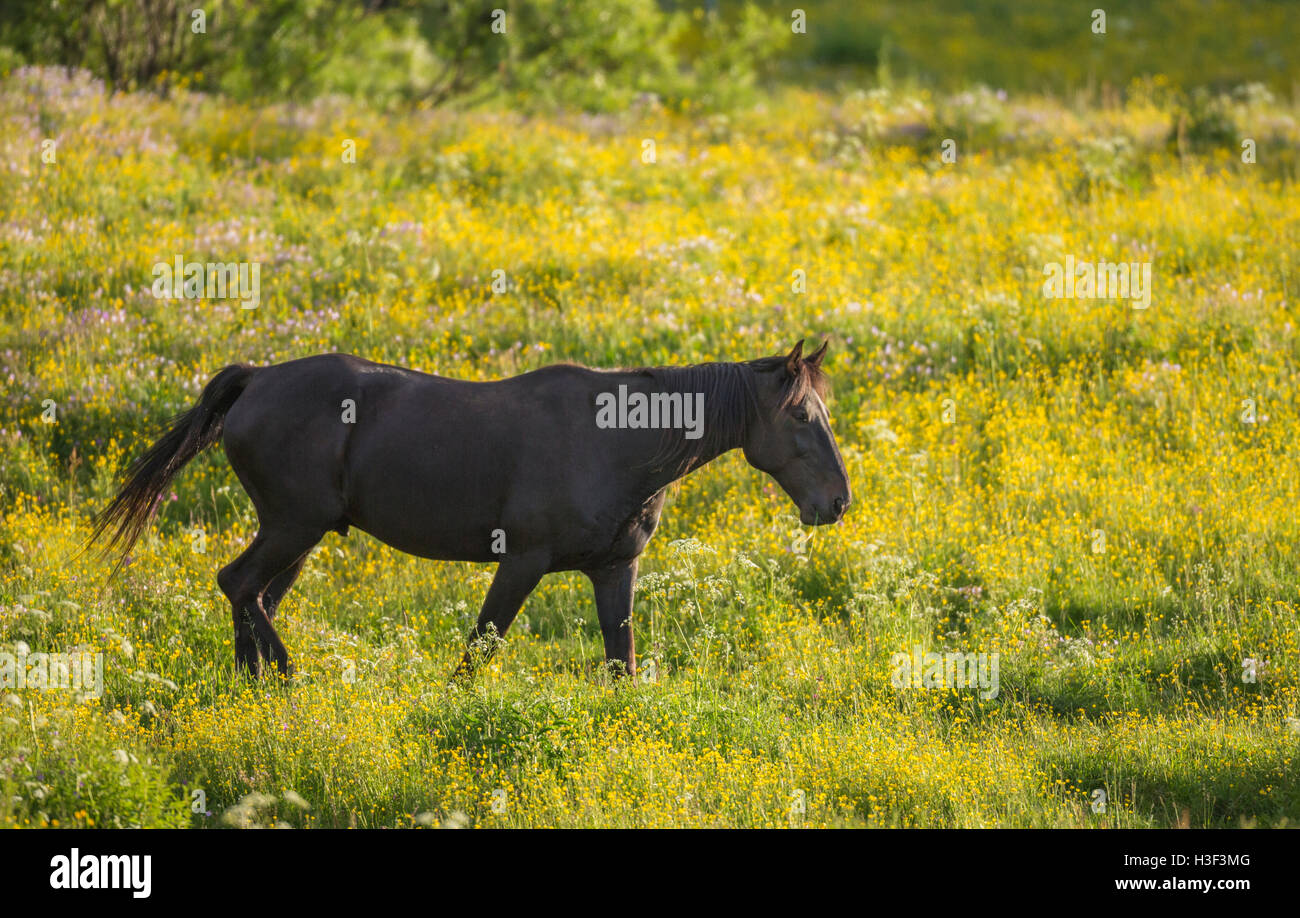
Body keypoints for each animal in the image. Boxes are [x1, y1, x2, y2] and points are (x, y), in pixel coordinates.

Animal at [98, 340, 852, 676]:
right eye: (801, 415)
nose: (837, 503)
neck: (619, 439)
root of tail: (256, 380)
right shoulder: (520, 562)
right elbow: (477, 651)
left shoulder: (614, 571)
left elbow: (621, 664)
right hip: (293, 525)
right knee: (239, 584)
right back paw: (286, 677)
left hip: (298, 535)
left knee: (254, 595)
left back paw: (251, 688)